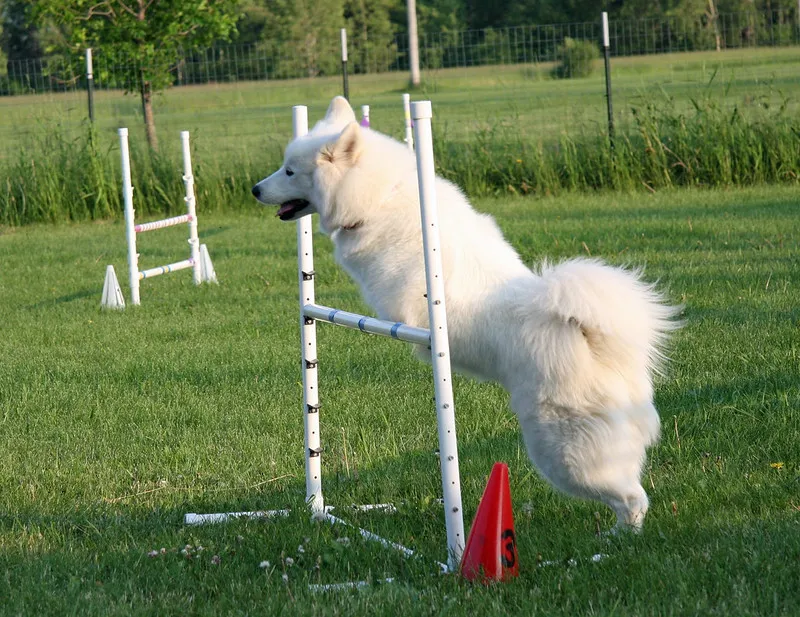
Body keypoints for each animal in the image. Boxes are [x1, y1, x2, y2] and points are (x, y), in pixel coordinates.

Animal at [253, 96, 680, 528]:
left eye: (289, 171)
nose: (255, 189)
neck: (381, 197)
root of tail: (589, 337)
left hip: (563, 452)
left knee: (631, 498)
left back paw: (615, 539)